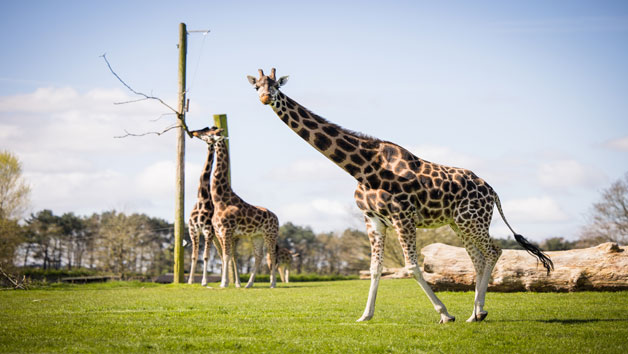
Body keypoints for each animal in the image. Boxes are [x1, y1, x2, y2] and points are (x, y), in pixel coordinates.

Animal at [191, 126, 280, 288]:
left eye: (209, 134)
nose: (194, 132)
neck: (220, 199)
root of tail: (276, 217)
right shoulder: (219, 231)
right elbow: (225, 256)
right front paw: (225, 282)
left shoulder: (227, 230)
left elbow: (226, 256)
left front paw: (224, 283)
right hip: (256, 236)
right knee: (259, 256)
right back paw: (249, 284)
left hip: (270, 234)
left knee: (272, 255)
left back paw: (272, 284)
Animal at [248, 68, 552, 324]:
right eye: (256, 86)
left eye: (276, 85)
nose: (265, 97)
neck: (362, 168)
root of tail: (493, 192)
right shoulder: (373, 219)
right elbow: (375, 268)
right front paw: (365, 316)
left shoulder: (402, 216)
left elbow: (412, 266)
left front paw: (445, 314)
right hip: (459, 223)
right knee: (478, 258)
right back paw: (476, 313)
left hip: (472, 220)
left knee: (493, 251)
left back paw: (475, 312)